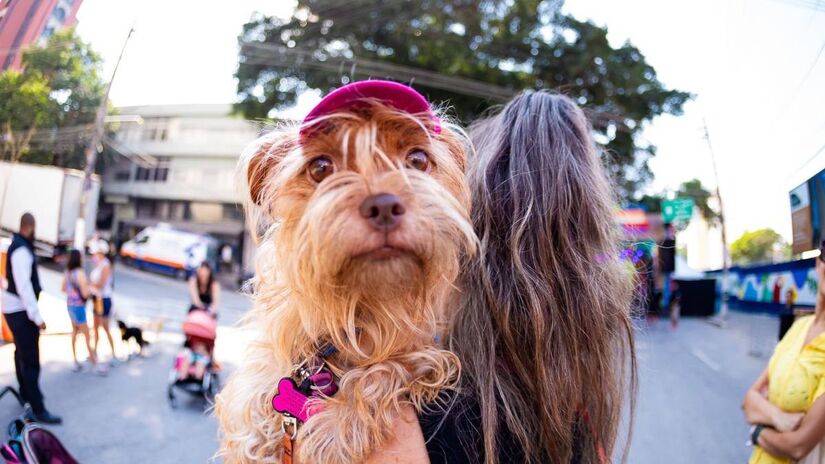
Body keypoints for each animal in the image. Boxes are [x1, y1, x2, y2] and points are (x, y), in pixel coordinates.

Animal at [217, 81, 476, 462]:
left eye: (417, 160)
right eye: (321, 167)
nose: (384, 205)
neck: (358, 305)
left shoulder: (427, 351)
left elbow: (391, 367)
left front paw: (336, 428)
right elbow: (256, 393)